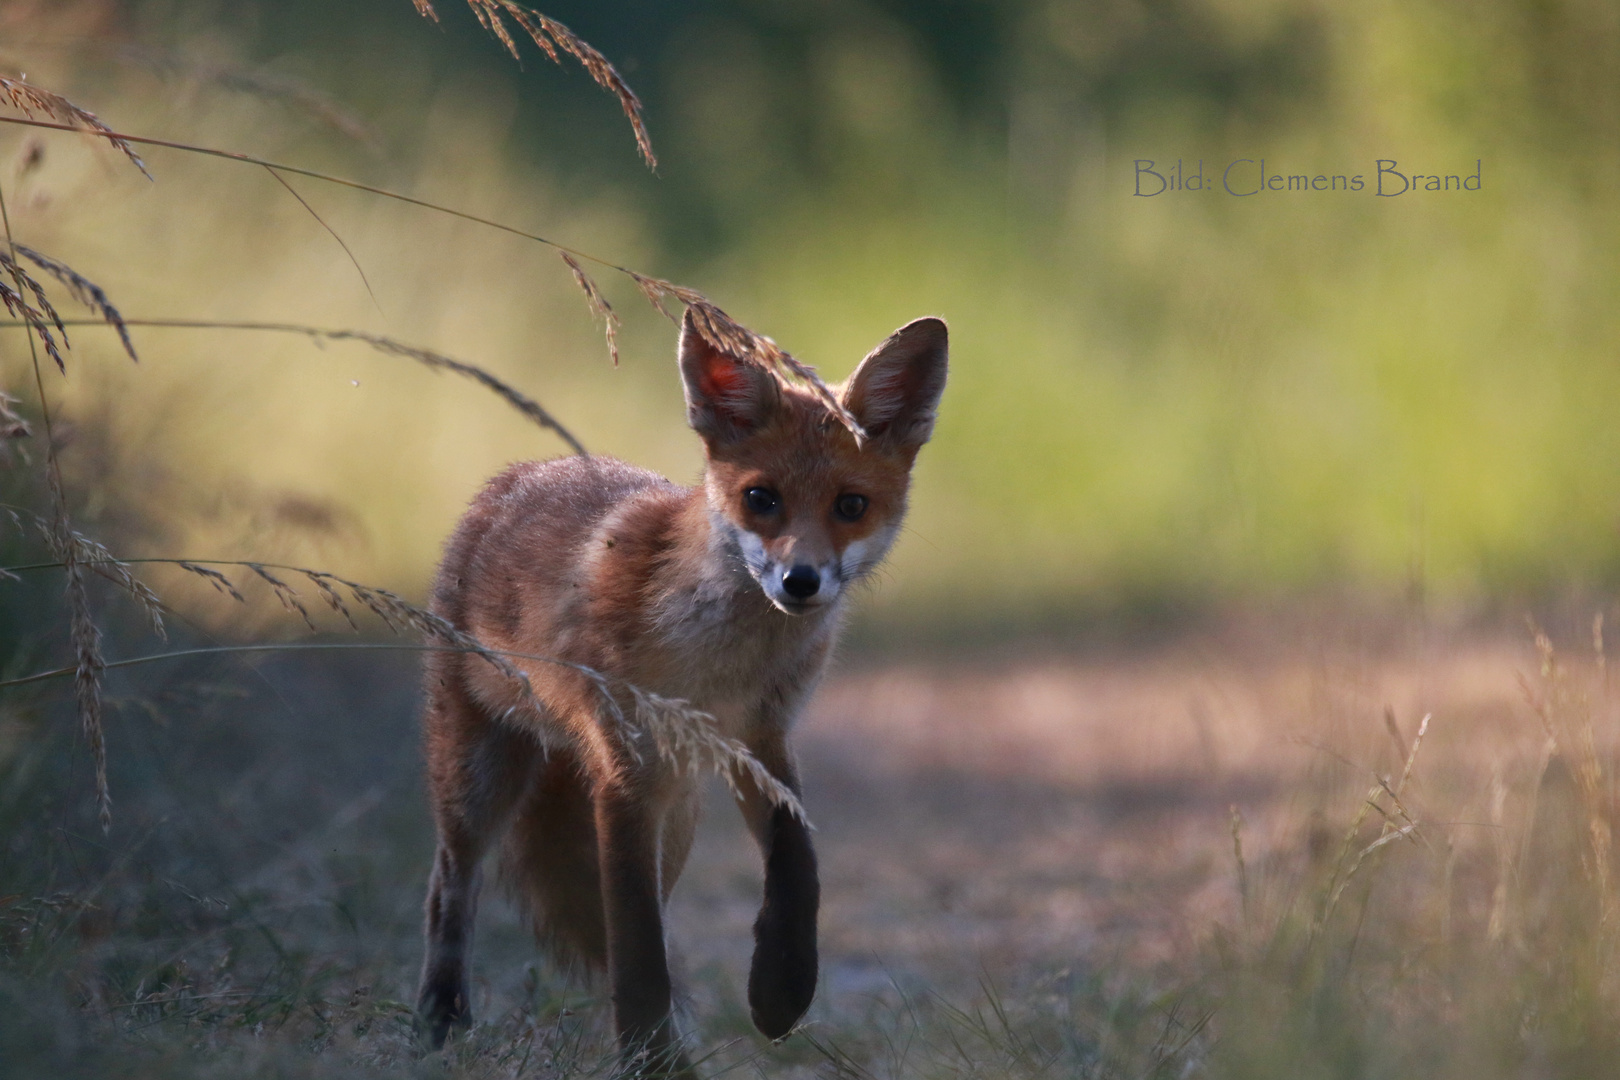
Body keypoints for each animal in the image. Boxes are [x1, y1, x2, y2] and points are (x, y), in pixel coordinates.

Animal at [417, 307, 946, 1068]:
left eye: (851, 505)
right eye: (761, 499)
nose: (801, 582)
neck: (718, 665)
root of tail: (519, 474)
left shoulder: (759, 738)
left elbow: (798, 864)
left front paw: (781, 986)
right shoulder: (625, 771)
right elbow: (637, 952)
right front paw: (654, 1063)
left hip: (681, 810)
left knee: (657, 918)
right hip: (477, 778)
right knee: (449, 888)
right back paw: (439, 1021)